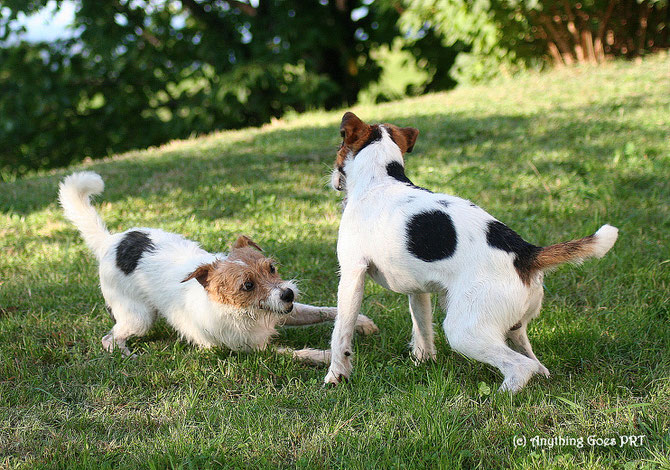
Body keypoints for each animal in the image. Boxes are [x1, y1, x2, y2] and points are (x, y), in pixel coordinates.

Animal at [57, 171, 378, 362]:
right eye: (247, 285)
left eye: (271, 269)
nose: (287, 293)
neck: (243, 312)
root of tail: (109, 242)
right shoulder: (254, 351)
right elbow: (297, 353)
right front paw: (326, 356)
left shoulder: (287, 311)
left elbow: (326, 311)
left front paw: (361, 322)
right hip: (138, 317)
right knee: (109, 337)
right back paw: (124, 352)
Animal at [326, 112, 620, 392]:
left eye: (340, 143)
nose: (332, 180)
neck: (380, 180)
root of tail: (525, 253)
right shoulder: (418, 290)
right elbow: (422, 328)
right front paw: (423, 362)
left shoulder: (352, 274)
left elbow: (341, 333)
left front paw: (335, 376)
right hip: (513, 328)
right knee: (535, 362)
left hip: (463, 331)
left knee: (520, 367)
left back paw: (499, 396)